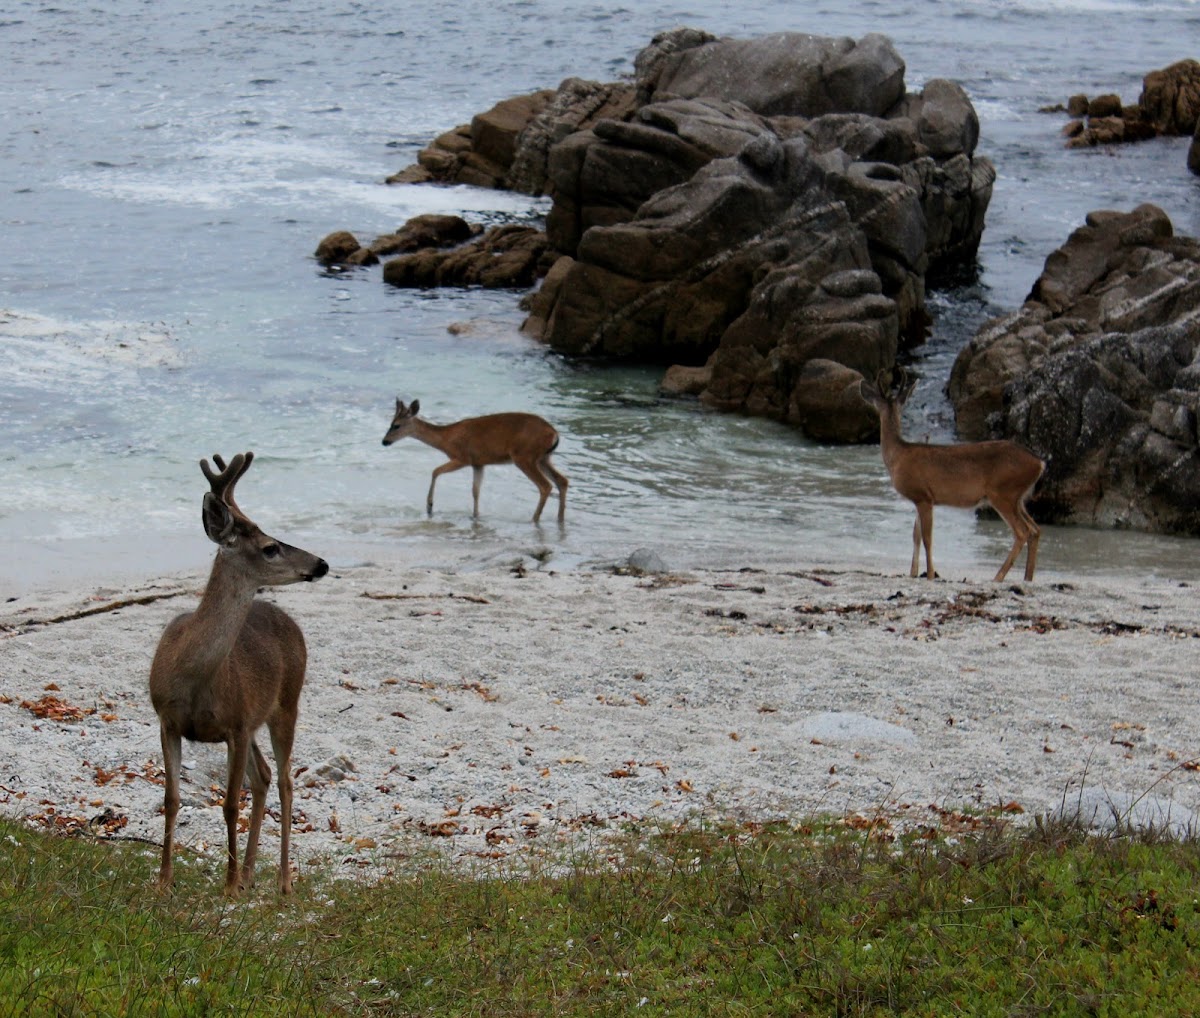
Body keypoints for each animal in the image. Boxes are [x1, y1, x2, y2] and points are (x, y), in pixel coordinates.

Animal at [149, 448, 328, 893]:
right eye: (270, 547)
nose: (321, 563)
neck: (193, 677)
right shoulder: (167, 720)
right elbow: (171, 799)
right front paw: (164, 881)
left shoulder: (237, 724)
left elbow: (230, 803)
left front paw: (227, 886)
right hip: (258, 719)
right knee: (263, 776)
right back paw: (249, 874)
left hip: (286, 704)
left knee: (284, 780)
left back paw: (282, 882)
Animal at [384, 398, 571, 525]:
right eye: (391, 423)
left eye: (396, 425)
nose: (384, 441)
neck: (446, 439)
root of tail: (554, 434)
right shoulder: (478, 463)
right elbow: (475, 491)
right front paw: (475, 516)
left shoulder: (462, 457)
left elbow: (435, 471)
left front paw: (430, 506)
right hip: (543, 458)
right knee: (562, 480)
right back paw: (560, 519)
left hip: (525, 456)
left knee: (545, 485)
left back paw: (534, 519)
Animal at [859, 372, 1046, 581]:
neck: (898, 456)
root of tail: (1039, 463)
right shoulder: (921, 498)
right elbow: (915, 535)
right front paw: (913, 573)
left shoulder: (923, 496)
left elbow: (927, 538)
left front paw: (930, 574)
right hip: (1018, 497)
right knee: (1035, 529)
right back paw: (1027, 578)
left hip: (1003, 493)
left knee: (1022, 531)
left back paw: (998, 577)